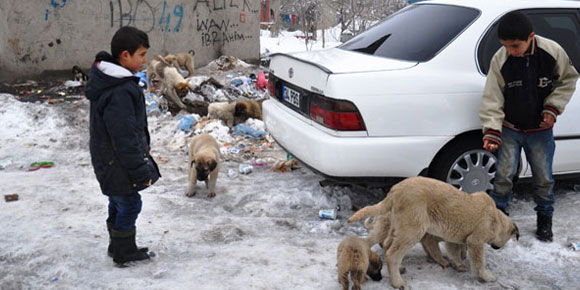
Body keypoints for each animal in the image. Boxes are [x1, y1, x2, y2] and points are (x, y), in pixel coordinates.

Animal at [346, 176, 520, 288]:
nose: (497, 247)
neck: (496, 218)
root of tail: (394, 191)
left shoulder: (454, 239)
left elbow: (454, 252)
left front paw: (458, 265)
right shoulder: (476, 241)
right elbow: (479, 262)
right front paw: (486, 276)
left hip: (390, 225)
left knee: (376, 243)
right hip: (413, 229)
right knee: (392, 254)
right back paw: (398, 282)